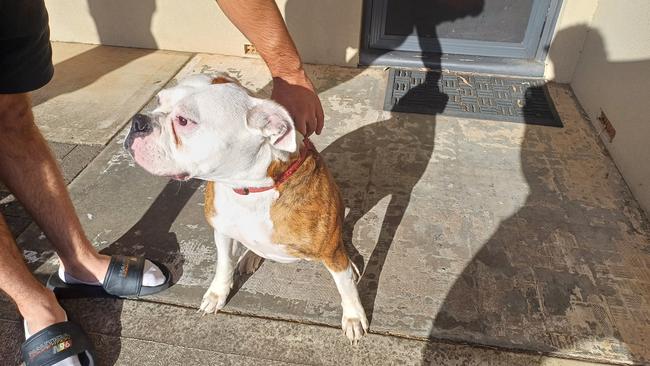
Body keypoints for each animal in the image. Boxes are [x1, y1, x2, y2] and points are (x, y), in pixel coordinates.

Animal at [124, 73, 368, 344]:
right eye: (158, 100)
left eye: (184, 121)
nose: (138, 122)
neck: (248, 190)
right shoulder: (222, 232)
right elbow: (223, 264)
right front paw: (217, 293)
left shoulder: (330, 252)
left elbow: (345, 286)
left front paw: (353, 316)